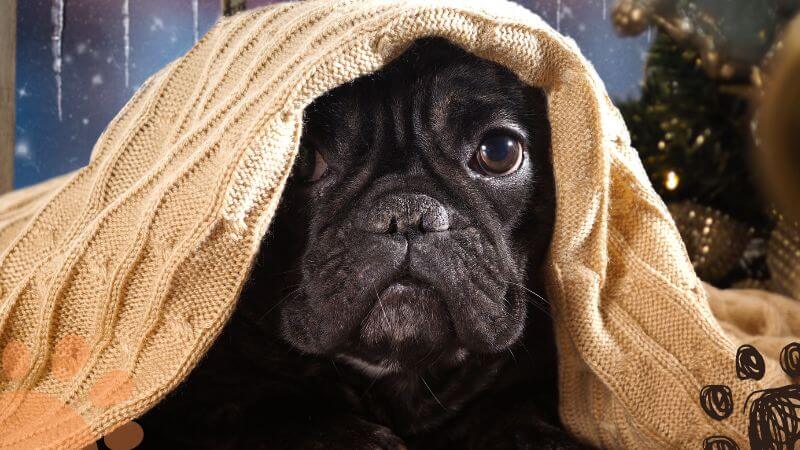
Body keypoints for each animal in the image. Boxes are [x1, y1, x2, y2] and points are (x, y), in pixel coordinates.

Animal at [136, 37, 588, 448]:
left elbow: (514, 415)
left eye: (499, 151)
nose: (408, 214)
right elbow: (274, 416)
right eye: (300, 160)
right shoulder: (207, 399)